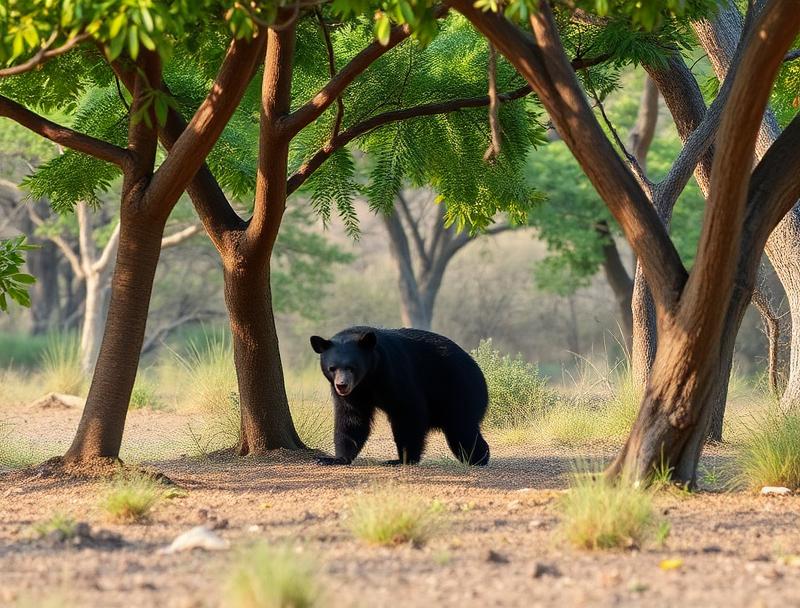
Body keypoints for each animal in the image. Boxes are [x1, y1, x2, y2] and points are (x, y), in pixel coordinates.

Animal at [310, 326, 490, 466]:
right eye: (332, 368)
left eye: (352, 367)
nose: (342, 385)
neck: (369, 378)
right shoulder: (356, 394)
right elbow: (351, 418)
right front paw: (334, 458)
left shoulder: (394, 372)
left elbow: (408, 411)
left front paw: (401, 459)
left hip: (459, 389)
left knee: (461, 428)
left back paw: (478, 457)